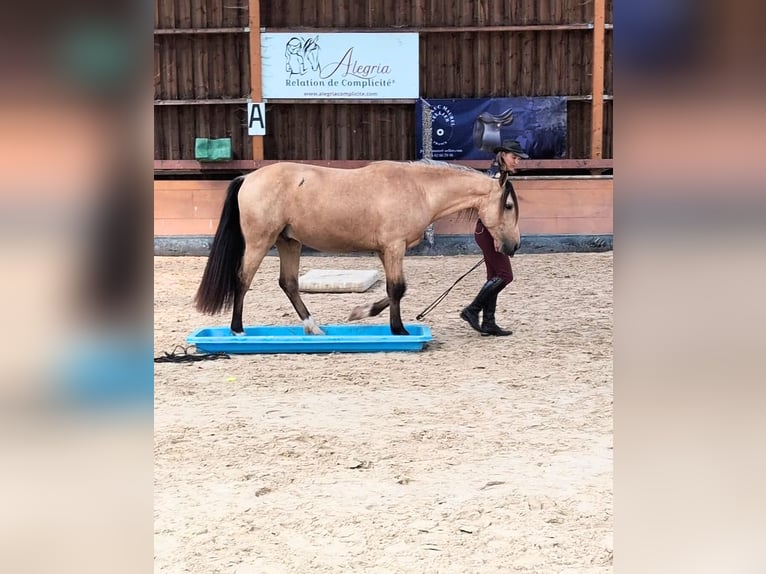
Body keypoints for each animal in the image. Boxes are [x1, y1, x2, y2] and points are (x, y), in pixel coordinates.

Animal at [194, 160, 520, 336]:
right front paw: (398, 329)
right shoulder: (394, 247)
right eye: (508, 205)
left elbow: (395, 290)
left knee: (288, 284)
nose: (513, 245)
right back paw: (237, 329)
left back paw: (313, 327)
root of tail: (247, 177)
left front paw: (361, 312)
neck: (418, 188)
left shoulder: (386, 250)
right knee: (242, 280)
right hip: (260, 242)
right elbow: (397, 289)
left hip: (289, 242)